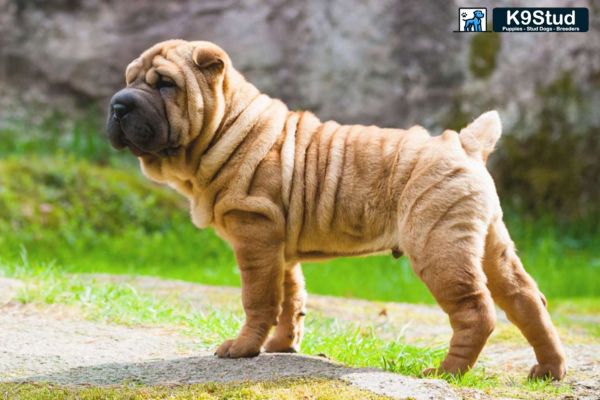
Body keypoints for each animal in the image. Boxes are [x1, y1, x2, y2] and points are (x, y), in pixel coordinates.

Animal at [106, 39, 568, 380]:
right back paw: (548, 370)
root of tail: (465, 143)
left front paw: (242, 349)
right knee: (527, 299)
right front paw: (282, 346)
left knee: (476, 310)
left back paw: (445, 372)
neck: (226, 128)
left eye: (165, 84)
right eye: (128, 80)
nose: (117, 104)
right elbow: (290, 297)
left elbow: (258, 299)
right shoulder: (278, 244)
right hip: (489, 241)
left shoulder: (254, 233)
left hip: (438, 244)